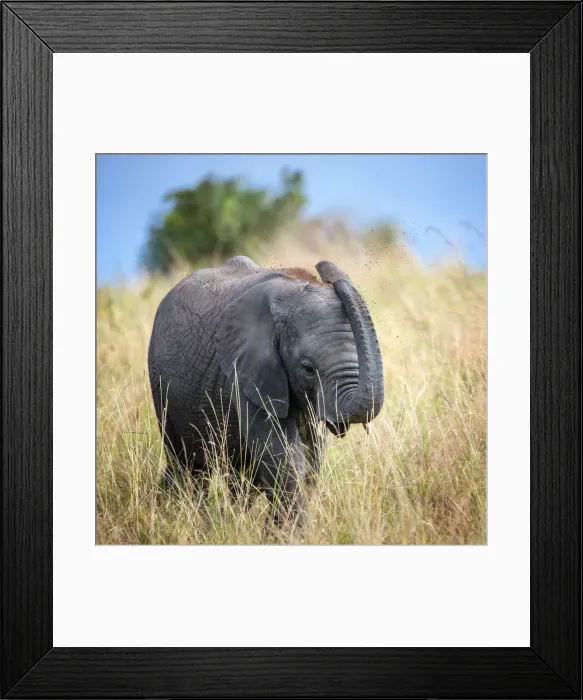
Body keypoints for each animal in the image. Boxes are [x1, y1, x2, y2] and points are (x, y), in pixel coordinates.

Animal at [148, 255, 384, 524]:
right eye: (307, 368)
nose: (322, 268)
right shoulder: (247, 371)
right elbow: (283, 456)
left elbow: (311, 457)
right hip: (162, 386)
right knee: (189, 464)